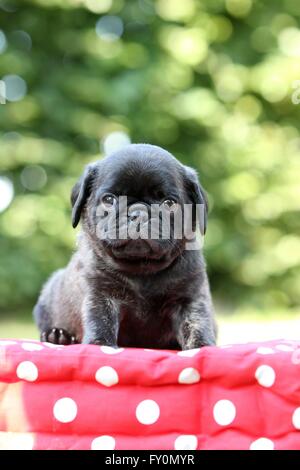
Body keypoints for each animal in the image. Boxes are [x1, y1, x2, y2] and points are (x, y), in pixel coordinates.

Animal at [33, 143, 216, 348]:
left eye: (169, 203)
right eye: (109, 199)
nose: (138, 213)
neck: (142, 267)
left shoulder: (189, 299)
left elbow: (196, 324)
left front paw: (203, 346)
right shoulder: (101, 294)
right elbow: (101, 321)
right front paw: (100, 344)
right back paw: (57, 336)